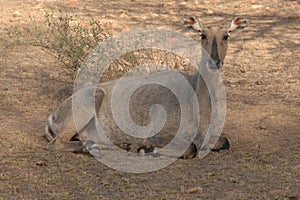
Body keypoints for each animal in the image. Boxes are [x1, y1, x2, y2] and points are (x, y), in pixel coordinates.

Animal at [44, 14, 246, 159]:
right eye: (202, 35)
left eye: (226, 36)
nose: (215, 61)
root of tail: (52, 116)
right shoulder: (160, 133)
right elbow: (191, 149)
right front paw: (144, 148)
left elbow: (225, 141)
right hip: (85, 106)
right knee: (57, 143)